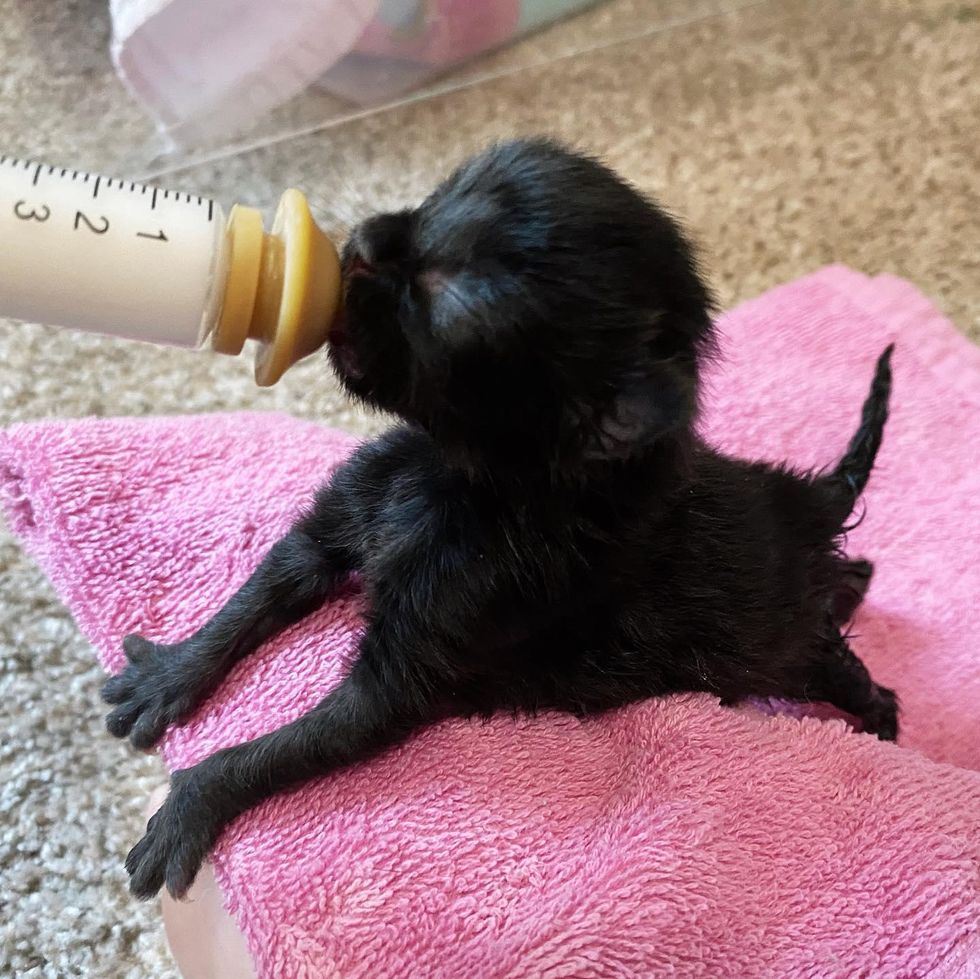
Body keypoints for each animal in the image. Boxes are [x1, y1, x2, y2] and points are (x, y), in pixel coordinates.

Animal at [101, 140, 896, 904]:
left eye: (444, 308)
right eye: (432, 200)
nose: (360, 244)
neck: (460, 478)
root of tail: (810, 503)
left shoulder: (402, 676)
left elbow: (271, 749)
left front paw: (189, 805)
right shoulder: (328, 530)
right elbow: (248, 602)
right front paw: (168, 675)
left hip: (788, 649)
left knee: (847, 669)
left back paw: (882, 722)